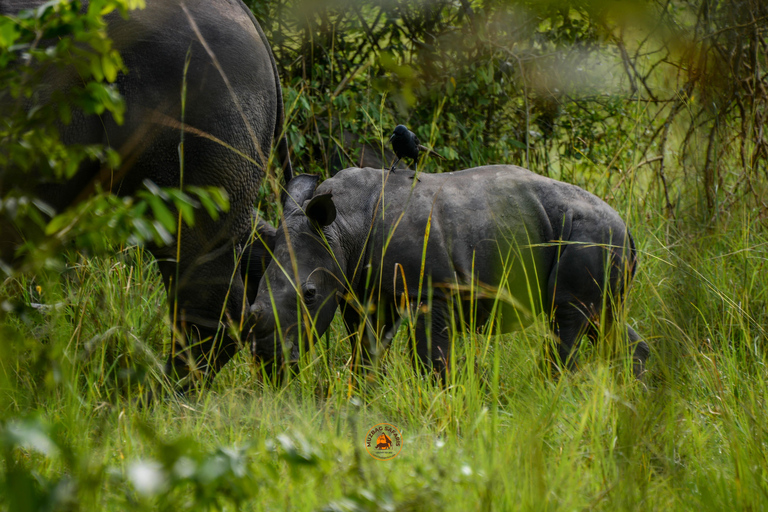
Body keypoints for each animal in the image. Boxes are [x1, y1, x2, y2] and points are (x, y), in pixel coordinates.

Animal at [249, 167, 652, 380]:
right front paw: (364, 392)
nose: (269, 363)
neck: (342, 229)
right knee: (604, 319)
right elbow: (366, 348)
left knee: (567, 315)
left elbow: (429, 356)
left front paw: (438, 398)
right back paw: (634, 390)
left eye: (310, 294)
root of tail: (628, 229)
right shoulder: (362, 290)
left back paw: (550, 390)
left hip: (592, 236)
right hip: (602, 241)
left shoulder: (434, 289)